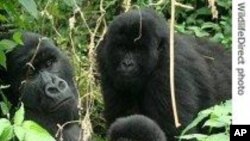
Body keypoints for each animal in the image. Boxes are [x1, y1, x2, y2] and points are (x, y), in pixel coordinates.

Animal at [96, 8, 231, 140]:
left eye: (138, 50)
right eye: (122, 48)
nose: (127, 64)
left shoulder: (170, 72)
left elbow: (174, 131)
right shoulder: (105, 60)